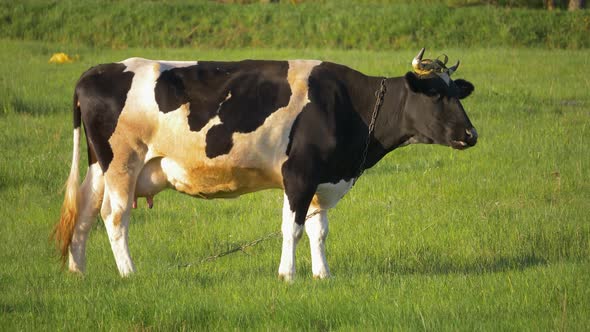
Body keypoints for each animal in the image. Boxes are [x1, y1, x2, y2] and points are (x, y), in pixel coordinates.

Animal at [55, 47, 478, 280]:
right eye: (435, 94)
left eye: (457, 92)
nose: (471, 134)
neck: (346, 105)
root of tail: (96, 70)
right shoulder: (299, 174)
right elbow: (292, 229)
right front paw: (287, 275)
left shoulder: (324, 180)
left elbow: (318, 230)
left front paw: (323, 275)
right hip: (122, 162)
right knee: (114, 217)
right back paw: (129, 273)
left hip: (100, 166)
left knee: (86, 210)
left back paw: (78, 271)